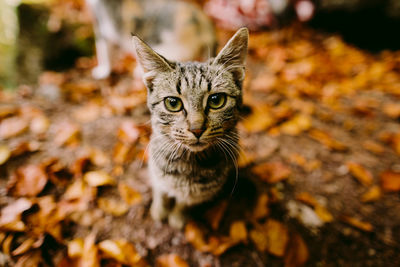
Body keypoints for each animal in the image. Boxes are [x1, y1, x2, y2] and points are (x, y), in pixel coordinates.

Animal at [133, 27, 248, 229]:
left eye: (216, 100)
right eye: (172, 103)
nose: (196, 129)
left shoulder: (198, 192)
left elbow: (183, 203)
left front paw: (177, 217)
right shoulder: (156, 171)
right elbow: (160, 190)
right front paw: (159, 209)